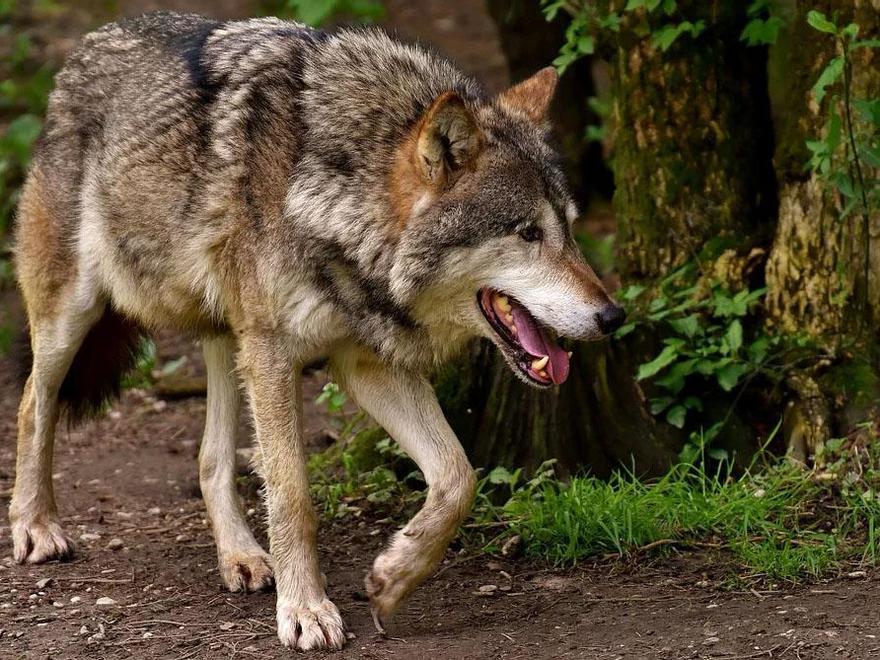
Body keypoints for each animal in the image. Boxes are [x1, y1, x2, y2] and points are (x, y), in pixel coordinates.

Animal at [10, 12, 624, 652]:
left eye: (570, 230)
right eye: (528, 233)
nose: (613, 316)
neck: (336, 201)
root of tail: (87, 46)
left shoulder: (365, 364)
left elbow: (459, 477)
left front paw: (393, 578)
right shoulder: (276, 355)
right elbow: (293, 496)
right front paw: (305, 609)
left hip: (228, 339)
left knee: (210, 458)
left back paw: (242, 557)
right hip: (75, 315)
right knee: (33, 402)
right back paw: (35, 527)